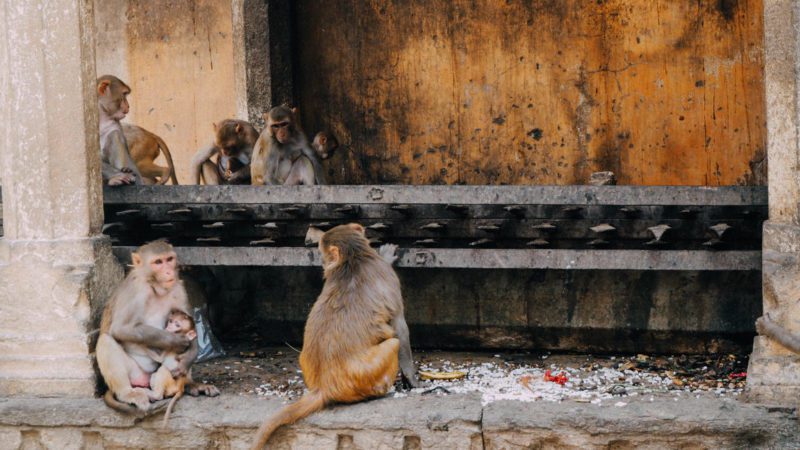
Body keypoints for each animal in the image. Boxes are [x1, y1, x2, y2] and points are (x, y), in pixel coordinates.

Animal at [94, 239, 219, 414]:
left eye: (169, 259)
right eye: (158, 262)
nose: (168, 272)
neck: (155, 286)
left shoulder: (178, 288)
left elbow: (191, 327)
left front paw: (187, 359)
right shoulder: (136, 291)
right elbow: (121, 329)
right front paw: (175, 341)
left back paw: (189, 384)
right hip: (136, 373)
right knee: (105, 340)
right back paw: (128, 393)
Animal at [252, 223, 418, 448]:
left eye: (322, 253)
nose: (323, 263)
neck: (354, 258)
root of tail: (324, 387)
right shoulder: (387, 278)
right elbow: (400, 326)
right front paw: (413, 379)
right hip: (367, 376)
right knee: (393, 342)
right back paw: (382, 392)